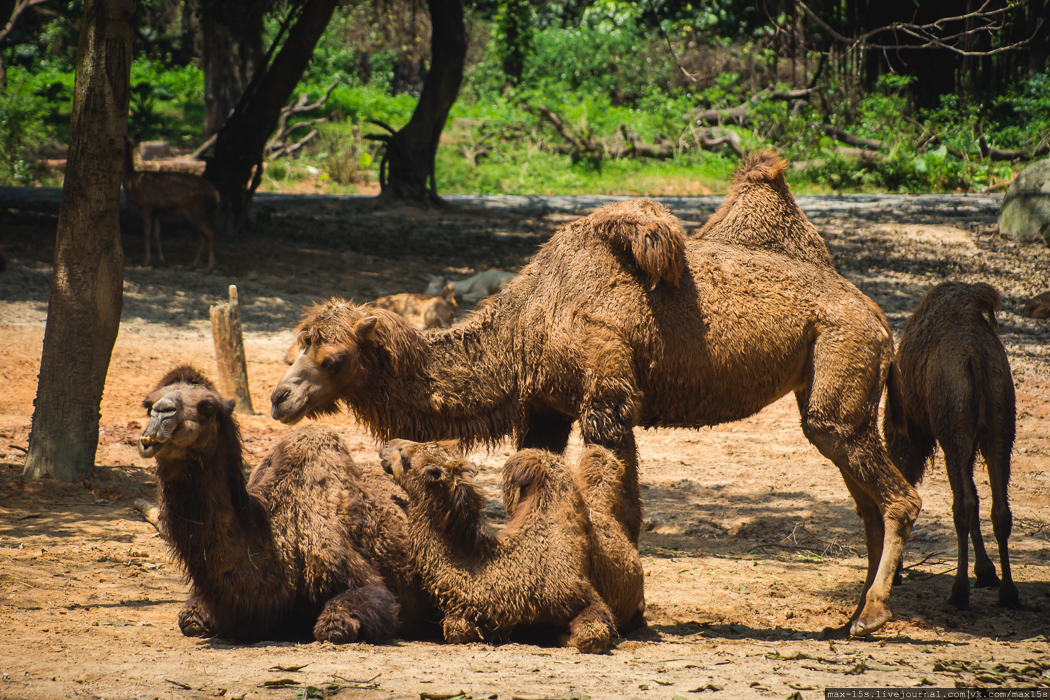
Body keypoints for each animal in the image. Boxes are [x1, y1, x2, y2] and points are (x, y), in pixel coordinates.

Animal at [121, 136, 220, 270]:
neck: (130, 181)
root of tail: (216, 193)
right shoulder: (156, 212)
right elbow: (156, 234)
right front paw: (161, 260)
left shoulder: (145, 206)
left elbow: (146, 232)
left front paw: (146, 260)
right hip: (193, 214)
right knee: (204, 236)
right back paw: (194, 264)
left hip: (198, 210)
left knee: (212, 234)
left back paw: (210, 267)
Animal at [380, 440, 634, 654]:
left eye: (405, 456)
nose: (386, 446)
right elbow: (456, 630)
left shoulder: (582, 597)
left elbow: (590, 636)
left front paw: (559, 635)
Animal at [881, 281, 1020, 608]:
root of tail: (975, 355)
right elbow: (979, 497)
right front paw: (986, 572)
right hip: (1000, 420)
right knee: (999, 508)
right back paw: (1008, 592)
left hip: (953, 425)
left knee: (963, 505)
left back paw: (959, 592)